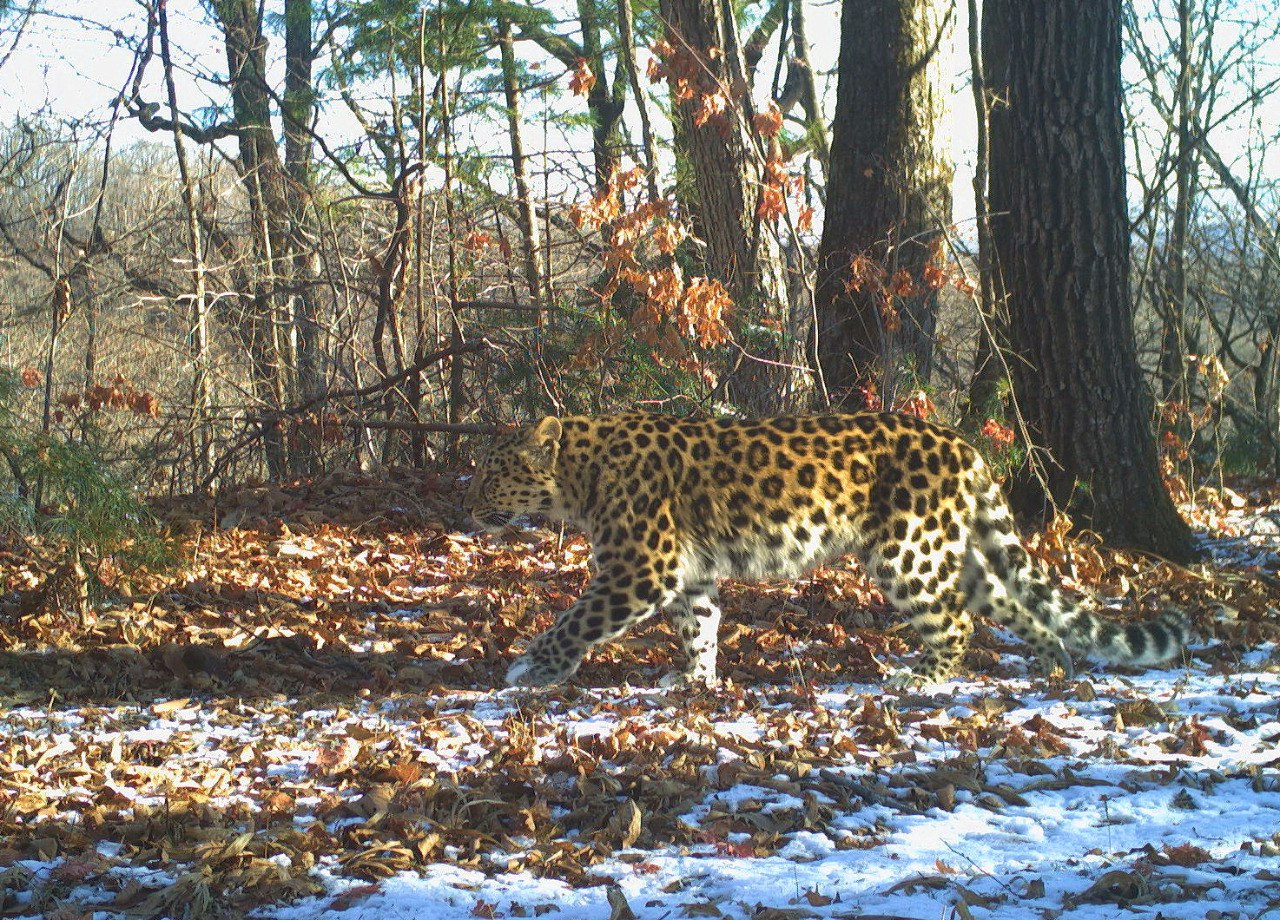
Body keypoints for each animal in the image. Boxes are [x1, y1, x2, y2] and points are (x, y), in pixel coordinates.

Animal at [463, 414, 1187, 685]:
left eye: (492, 470)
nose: (466, 507)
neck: (579, 478)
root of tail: (963, 446)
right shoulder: (688, 573)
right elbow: (699, 627)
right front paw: (694, 680)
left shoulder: (641, 569)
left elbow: (575, 620)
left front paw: (532, 667)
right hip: (953, 552)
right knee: (1013, 606)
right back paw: (1051, 661)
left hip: (907, 551)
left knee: (954, 621)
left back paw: (921, 677)